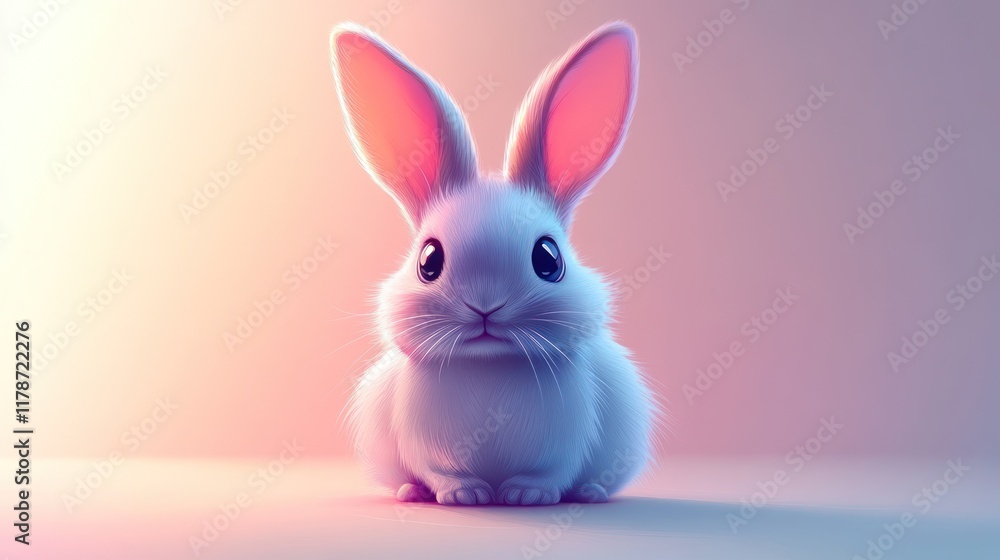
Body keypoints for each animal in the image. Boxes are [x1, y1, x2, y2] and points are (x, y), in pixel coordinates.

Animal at [329, 21, 655, 505]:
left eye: (548, 259)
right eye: (428, 260)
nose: (485, 306)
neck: (489, 361)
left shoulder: (566, 442)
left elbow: (551, 473)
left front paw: (527, 496)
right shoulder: (424, 443)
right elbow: (441, 471)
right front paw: (464, 496)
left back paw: (590, 492)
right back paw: (411, 492)